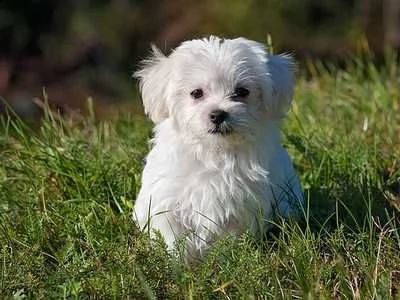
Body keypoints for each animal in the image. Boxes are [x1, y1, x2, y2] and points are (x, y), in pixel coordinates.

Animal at [133, 35, 302, 262]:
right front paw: (179, 264)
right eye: (196, 93)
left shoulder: (240, 207)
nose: (218, 114)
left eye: (241, 92)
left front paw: (224, 260)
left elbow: (229, 238)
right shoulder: (167, 202)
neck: (214, 151)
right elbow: (173, 237)